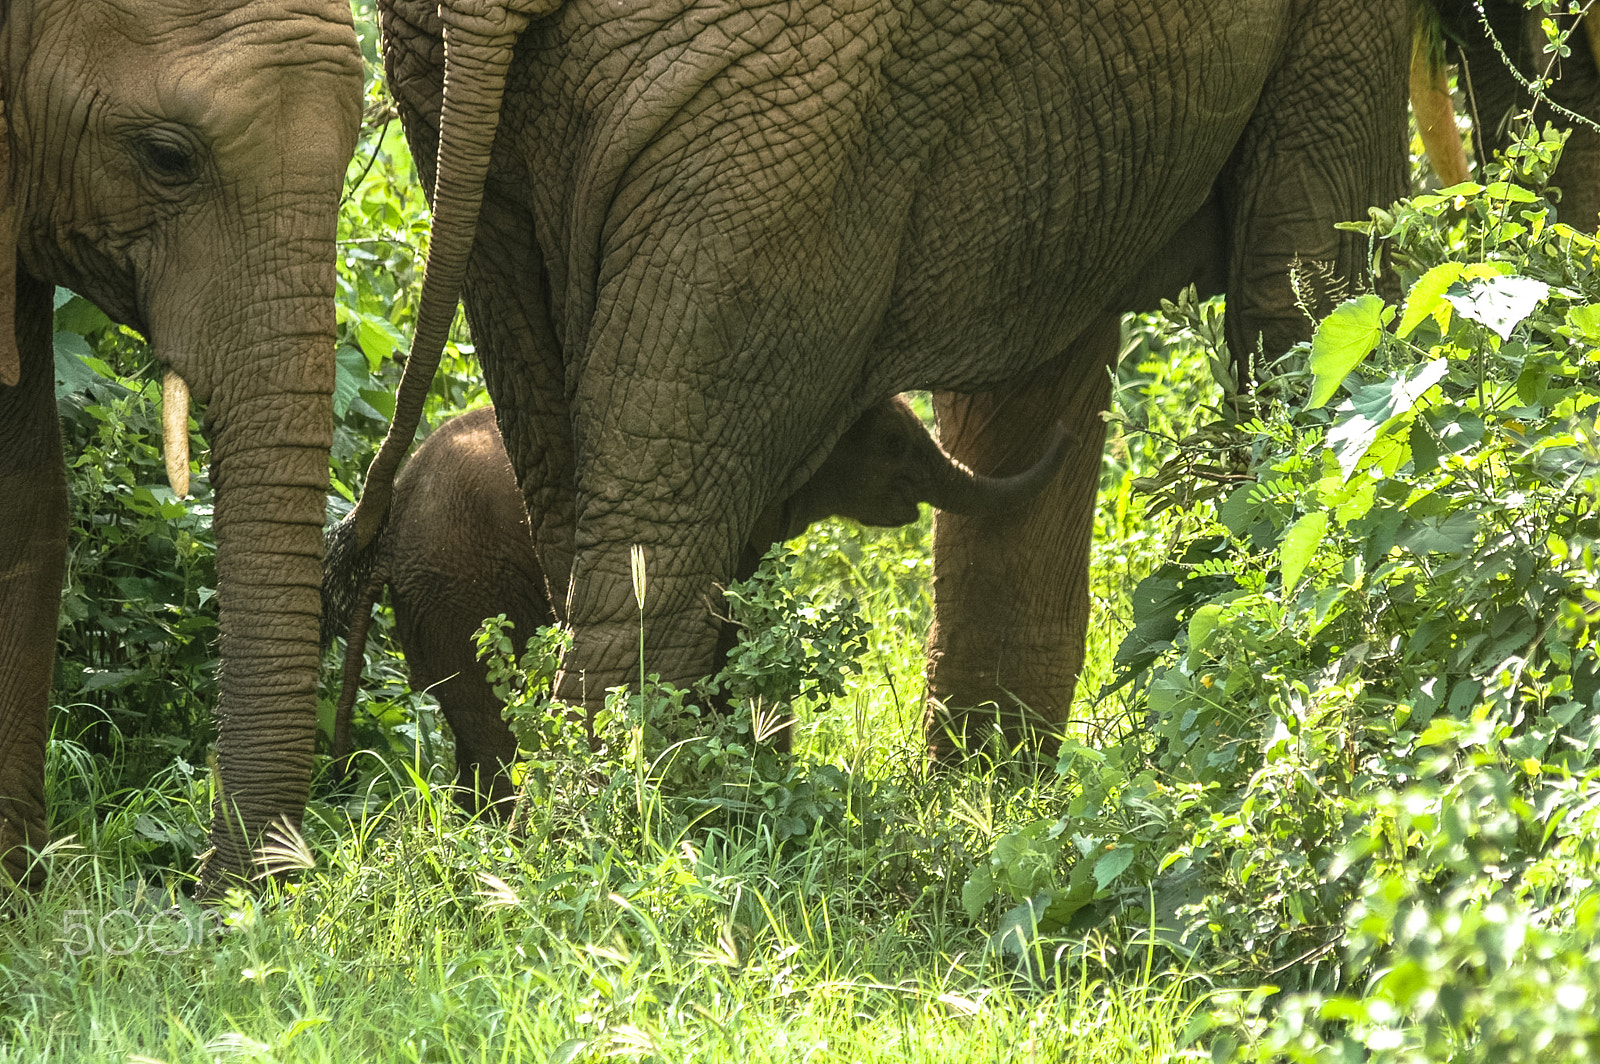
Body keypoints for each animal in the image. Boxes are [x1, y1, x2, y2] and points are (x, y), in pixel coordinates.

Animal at [324, 397, 1070, 810]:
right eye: (891, 444)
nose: (1073, 422)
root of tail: (386, 523)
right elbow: (730, 637)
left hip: (432, 600)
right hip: (461, 587)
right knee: (493, 728)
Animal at [328, 0, 1415, 760]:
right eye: (886, 451)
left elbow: (1037, 353)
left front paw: (989, 794)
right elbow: (1309, 284)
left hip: (477, 120)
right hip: (772, 124)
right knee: (660, 536)